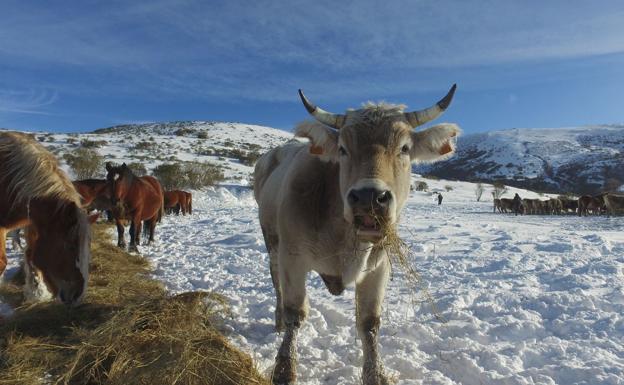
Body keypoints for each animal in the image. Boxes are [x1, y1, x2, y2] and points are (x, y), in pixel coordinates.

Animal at [255, 85, 464, 382]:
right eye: (343, 149)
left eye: (405, 148)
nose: (369, 196)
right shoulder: (292, 257)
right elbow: (295, 312)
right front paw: (284, 369)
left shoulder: (379, 265)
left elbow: (369, 322)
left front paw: (375, 373)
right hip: (272, 243)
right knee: (277, 287)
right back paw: (278, 321)